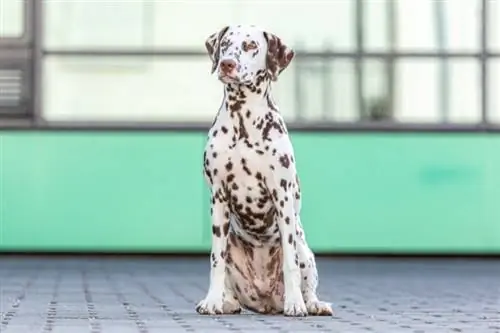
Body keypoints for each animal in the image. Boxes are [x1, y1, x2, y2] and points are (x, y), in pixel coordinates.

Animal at [195, 24, 332, 316]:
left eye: (250, 46)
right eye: (225, 43)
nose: (227, 63)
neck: (244, 121)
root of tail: (266, 300)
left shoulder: (282, 196)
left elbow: (290, 263)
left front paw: (295, 304)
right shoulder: (218, 198)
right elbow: (215, 260)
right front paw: (212, 301)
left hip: (304, 249)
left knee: (306, 279)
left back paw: (312, 303)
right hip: (231, 243)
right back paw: (226, 302)